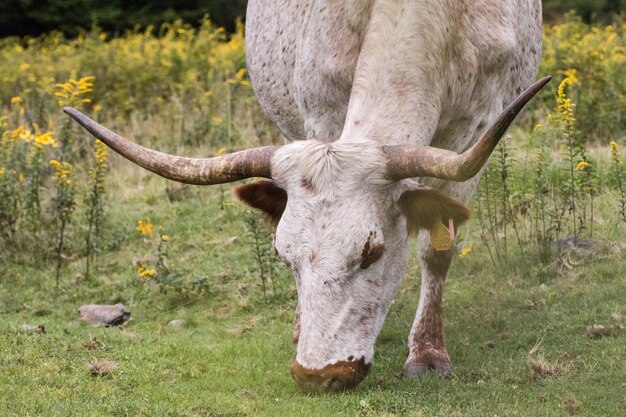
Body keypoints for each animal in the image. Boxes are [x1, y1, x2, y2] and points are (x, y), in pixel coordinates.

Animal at [66, 0, 548, 394]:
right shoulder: (320, 111)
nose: (318, 376)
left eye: (372, 252)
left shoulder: (473, 133)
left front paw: (428, 353)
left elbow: (436, 250)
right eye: (282, 256)